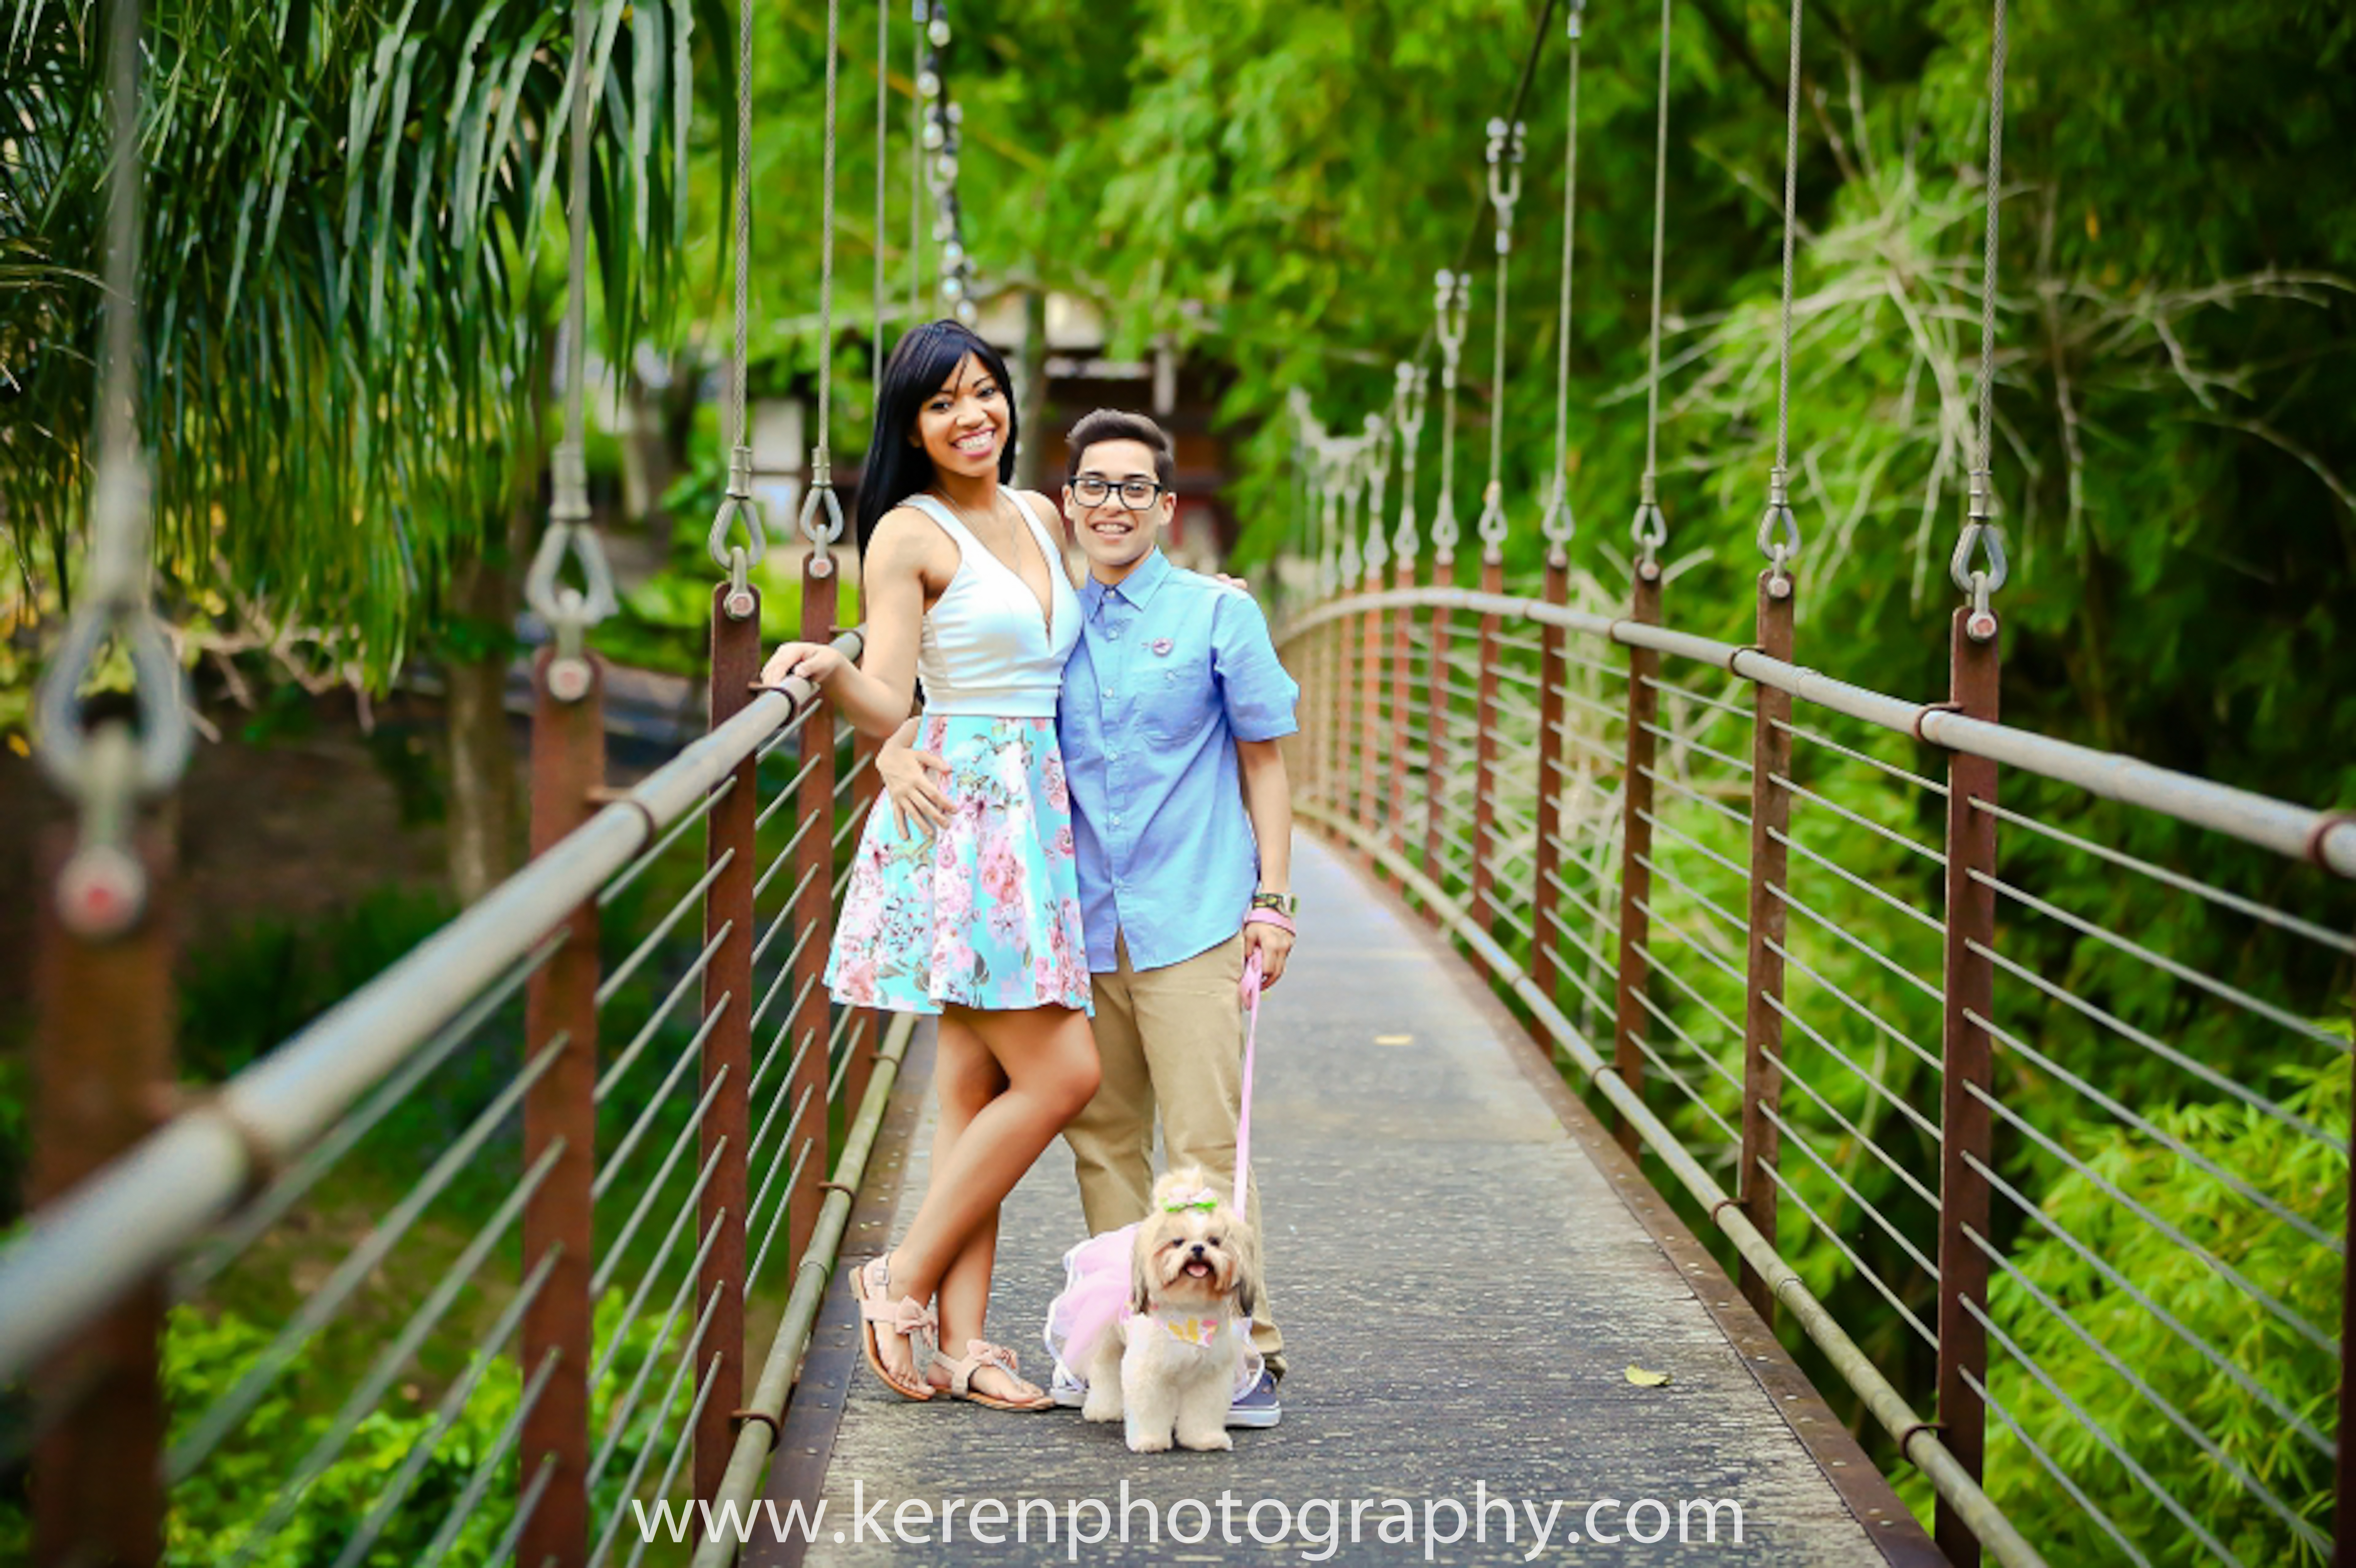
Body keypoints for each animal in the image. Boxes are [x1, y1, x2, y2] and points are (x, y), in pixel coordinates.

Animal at [1084, 1168, 1272, 1450]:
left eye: (1215, 1241)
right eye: (1177, 1242)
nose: (1198, 1247)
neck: (1190, 1315)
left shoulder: (1209, 1375)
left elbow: (1202, 1412)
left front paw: (1205, 1439)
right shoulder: (1149, 1373)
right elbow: (1149, 1409)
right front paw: (1149, 1441)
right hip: (1106, 1341)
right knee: (1104, 1372)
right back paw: (1102, 1409)